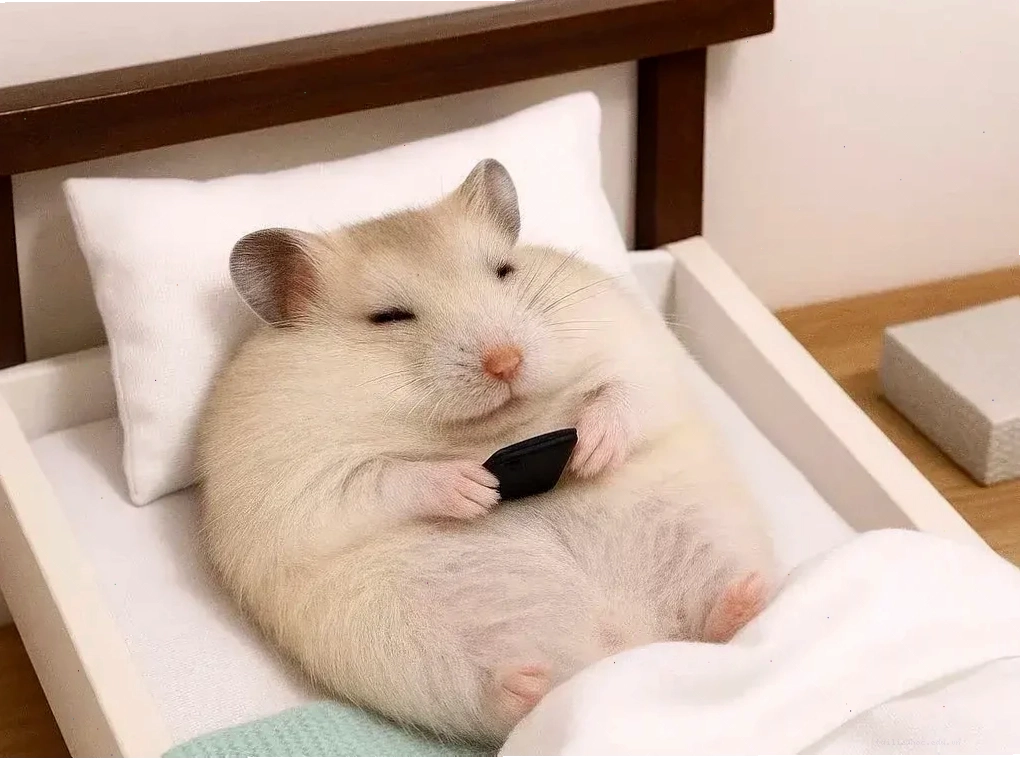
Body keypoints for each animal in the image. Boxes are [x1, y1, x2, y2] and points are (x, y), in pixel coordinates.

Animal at [196, 158, 777, 747]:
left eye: (504, 270)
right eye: (389, 317)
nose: (505, 361)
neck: (494, 429)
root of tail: (626, 642)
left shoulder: (635, 349)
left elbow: (624, 393)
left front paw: (590, 452)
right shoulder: (300, 479)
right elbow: (384, 478)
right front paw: (475, 488)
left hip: (708, 529)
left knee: (717, 620)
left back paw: (746, 597)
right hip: (400, 640)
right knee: (490, 696)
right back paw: (524, 685)